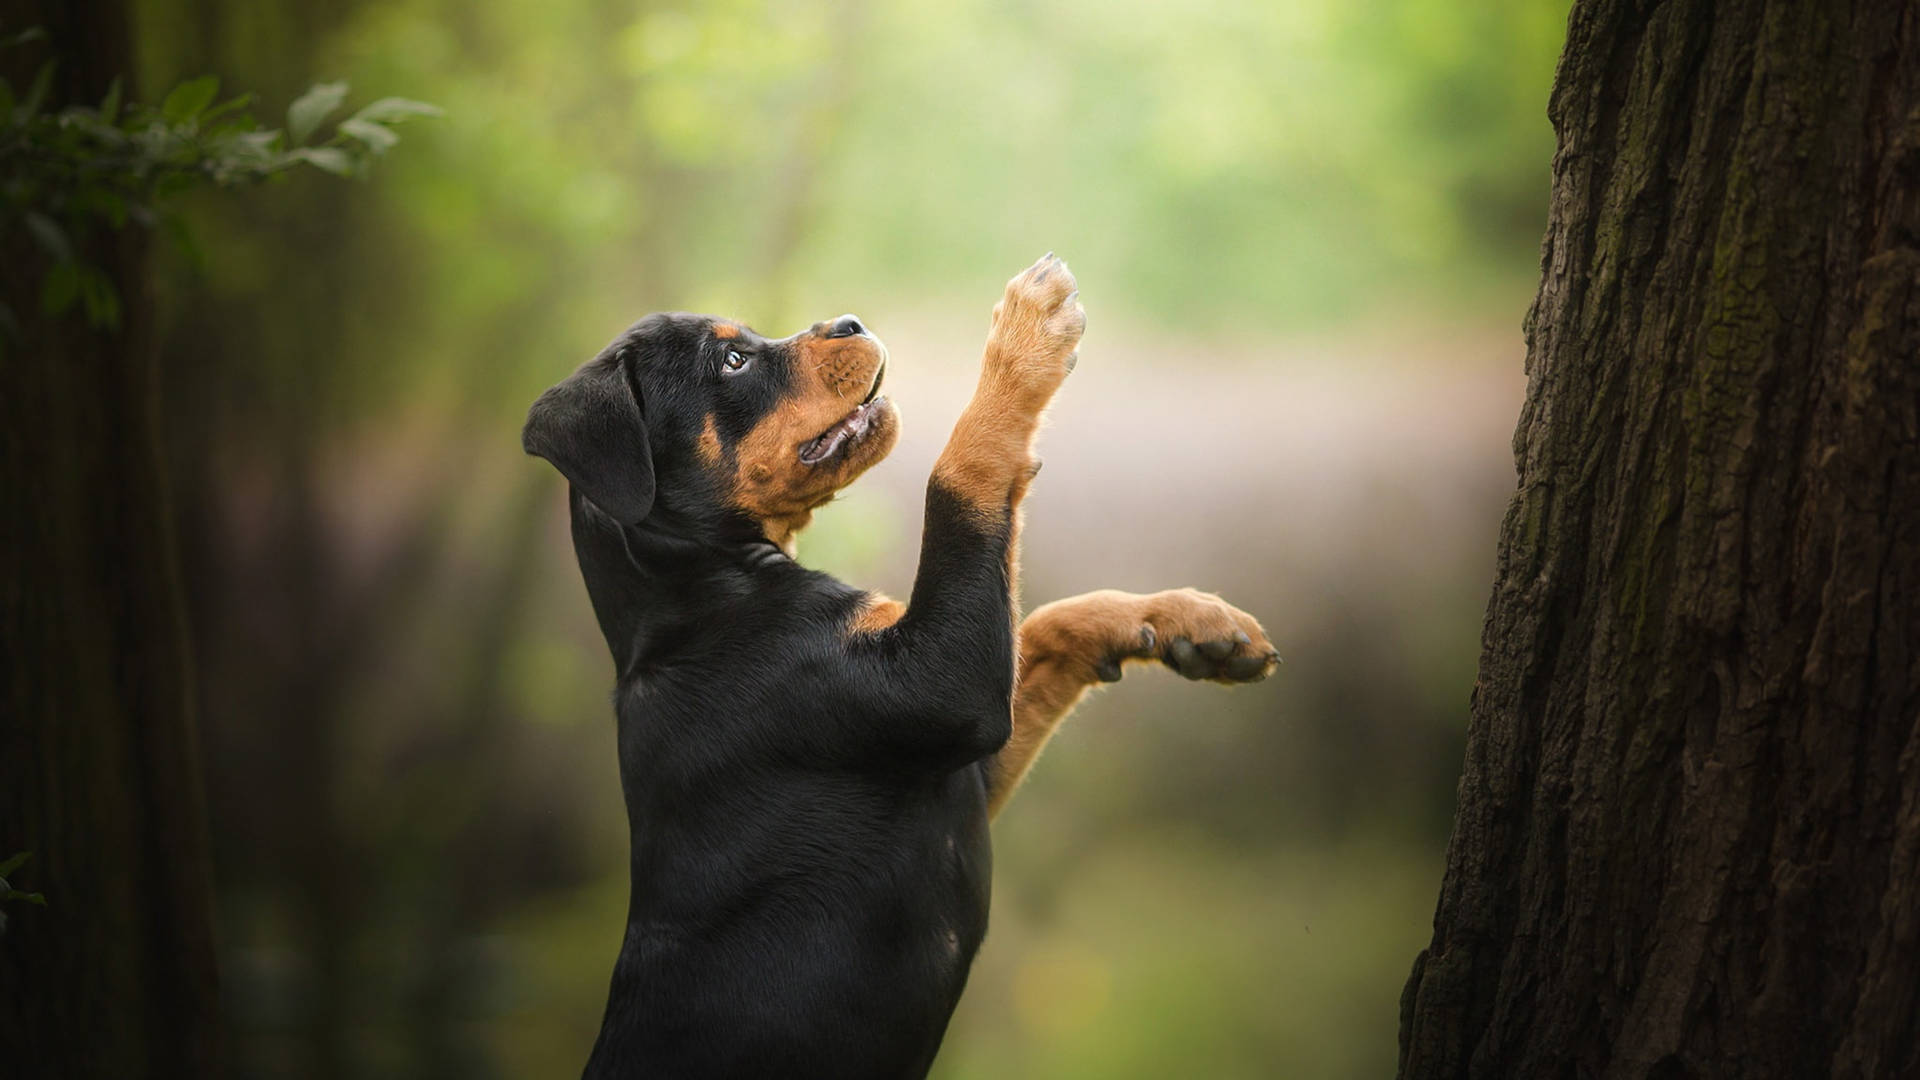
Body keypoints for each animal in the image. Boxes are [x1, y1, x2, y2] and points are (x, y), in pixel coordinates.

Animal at [526, 253, 1274, 1076]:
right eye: (732, 361)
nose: (848, 322)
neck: (699, 598)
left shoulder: (958, 761)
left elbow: (1044, 621)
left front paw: (1187, 623)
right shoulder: (943, 689)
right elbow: (957, 479)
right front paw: (1025, 333)